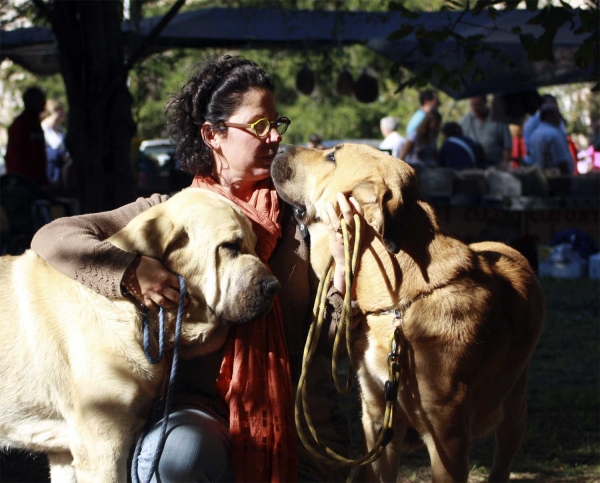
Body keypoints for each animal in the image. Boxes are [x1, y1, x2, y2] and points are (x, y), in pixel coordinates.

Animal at [0, 189, 278, 483]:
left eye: (255, 245)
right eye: (230, 246)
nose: (275, 286)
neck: (136, 310)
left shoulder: (67, 454)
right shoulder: (102, 446)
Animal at [274, 145, 548, 483]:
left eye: (332, 157)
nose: (281, 147)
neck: (399, 305)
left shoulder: (448, 441)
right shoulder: (378, 422)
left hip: (514, 411)